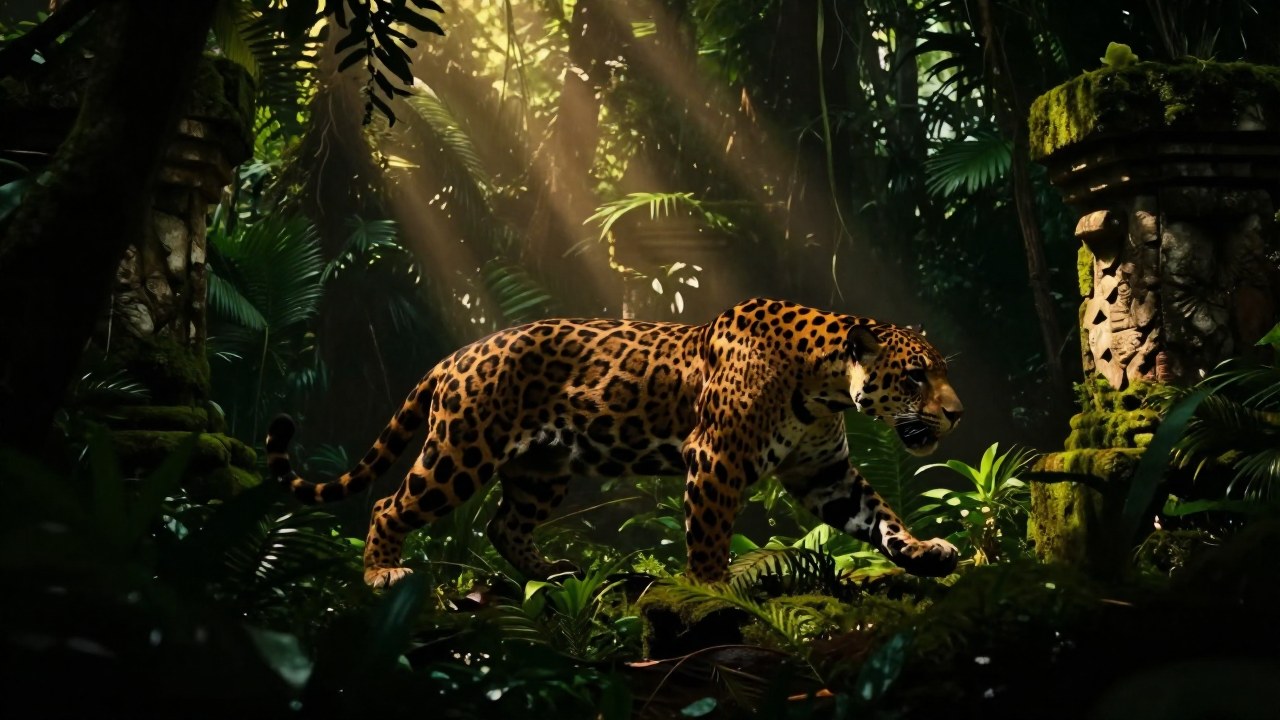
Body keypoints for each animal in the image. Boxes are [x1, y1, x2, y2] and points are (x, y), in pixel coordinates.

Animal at [265, 297, 964, 588]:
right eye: (915, 376)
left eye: (938, 370)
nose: (958, 415)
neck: (824, 385)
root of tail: (457, 355)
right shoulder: (715, 459)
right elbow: (709, 536)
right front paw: (709, 590)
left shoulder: (824, 472)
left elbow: (880, 516)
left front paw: (923, 552)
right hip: (461, 453)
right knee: (391, 505)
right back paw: (381, 570)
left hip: (542, 467)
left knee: (502, 524)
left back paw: (554, 572)